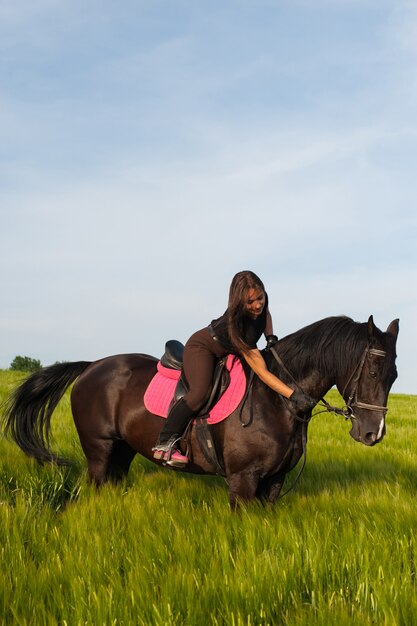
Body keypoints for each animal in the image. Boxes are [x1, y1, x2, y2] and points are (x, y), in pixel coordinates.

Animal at [0, 314, 396, 504]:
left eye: (394, 375)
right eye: (372, 371)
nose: (372, 434)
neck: (276, 398)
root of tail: (90, 366)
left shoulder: (274, 482)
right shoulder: (242, 481)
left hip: (123, 452)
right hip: (99, 450)